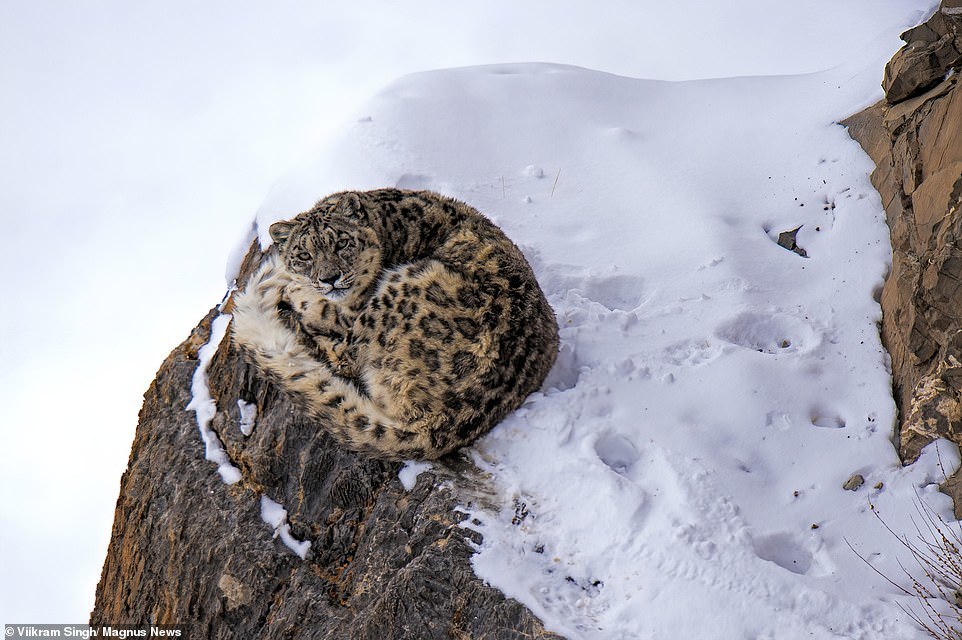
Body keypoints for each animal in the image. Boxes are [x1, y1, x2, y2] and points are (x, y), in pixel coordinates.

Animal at [230, 188, 560, 458]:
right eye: (304, 254)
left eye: (342, 242)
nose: (329, 278)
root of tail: (439, 425)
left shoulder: (351, 309)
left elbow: (320, 310)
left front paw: (297, 291)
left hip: (402, 287)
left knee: (344, 357)